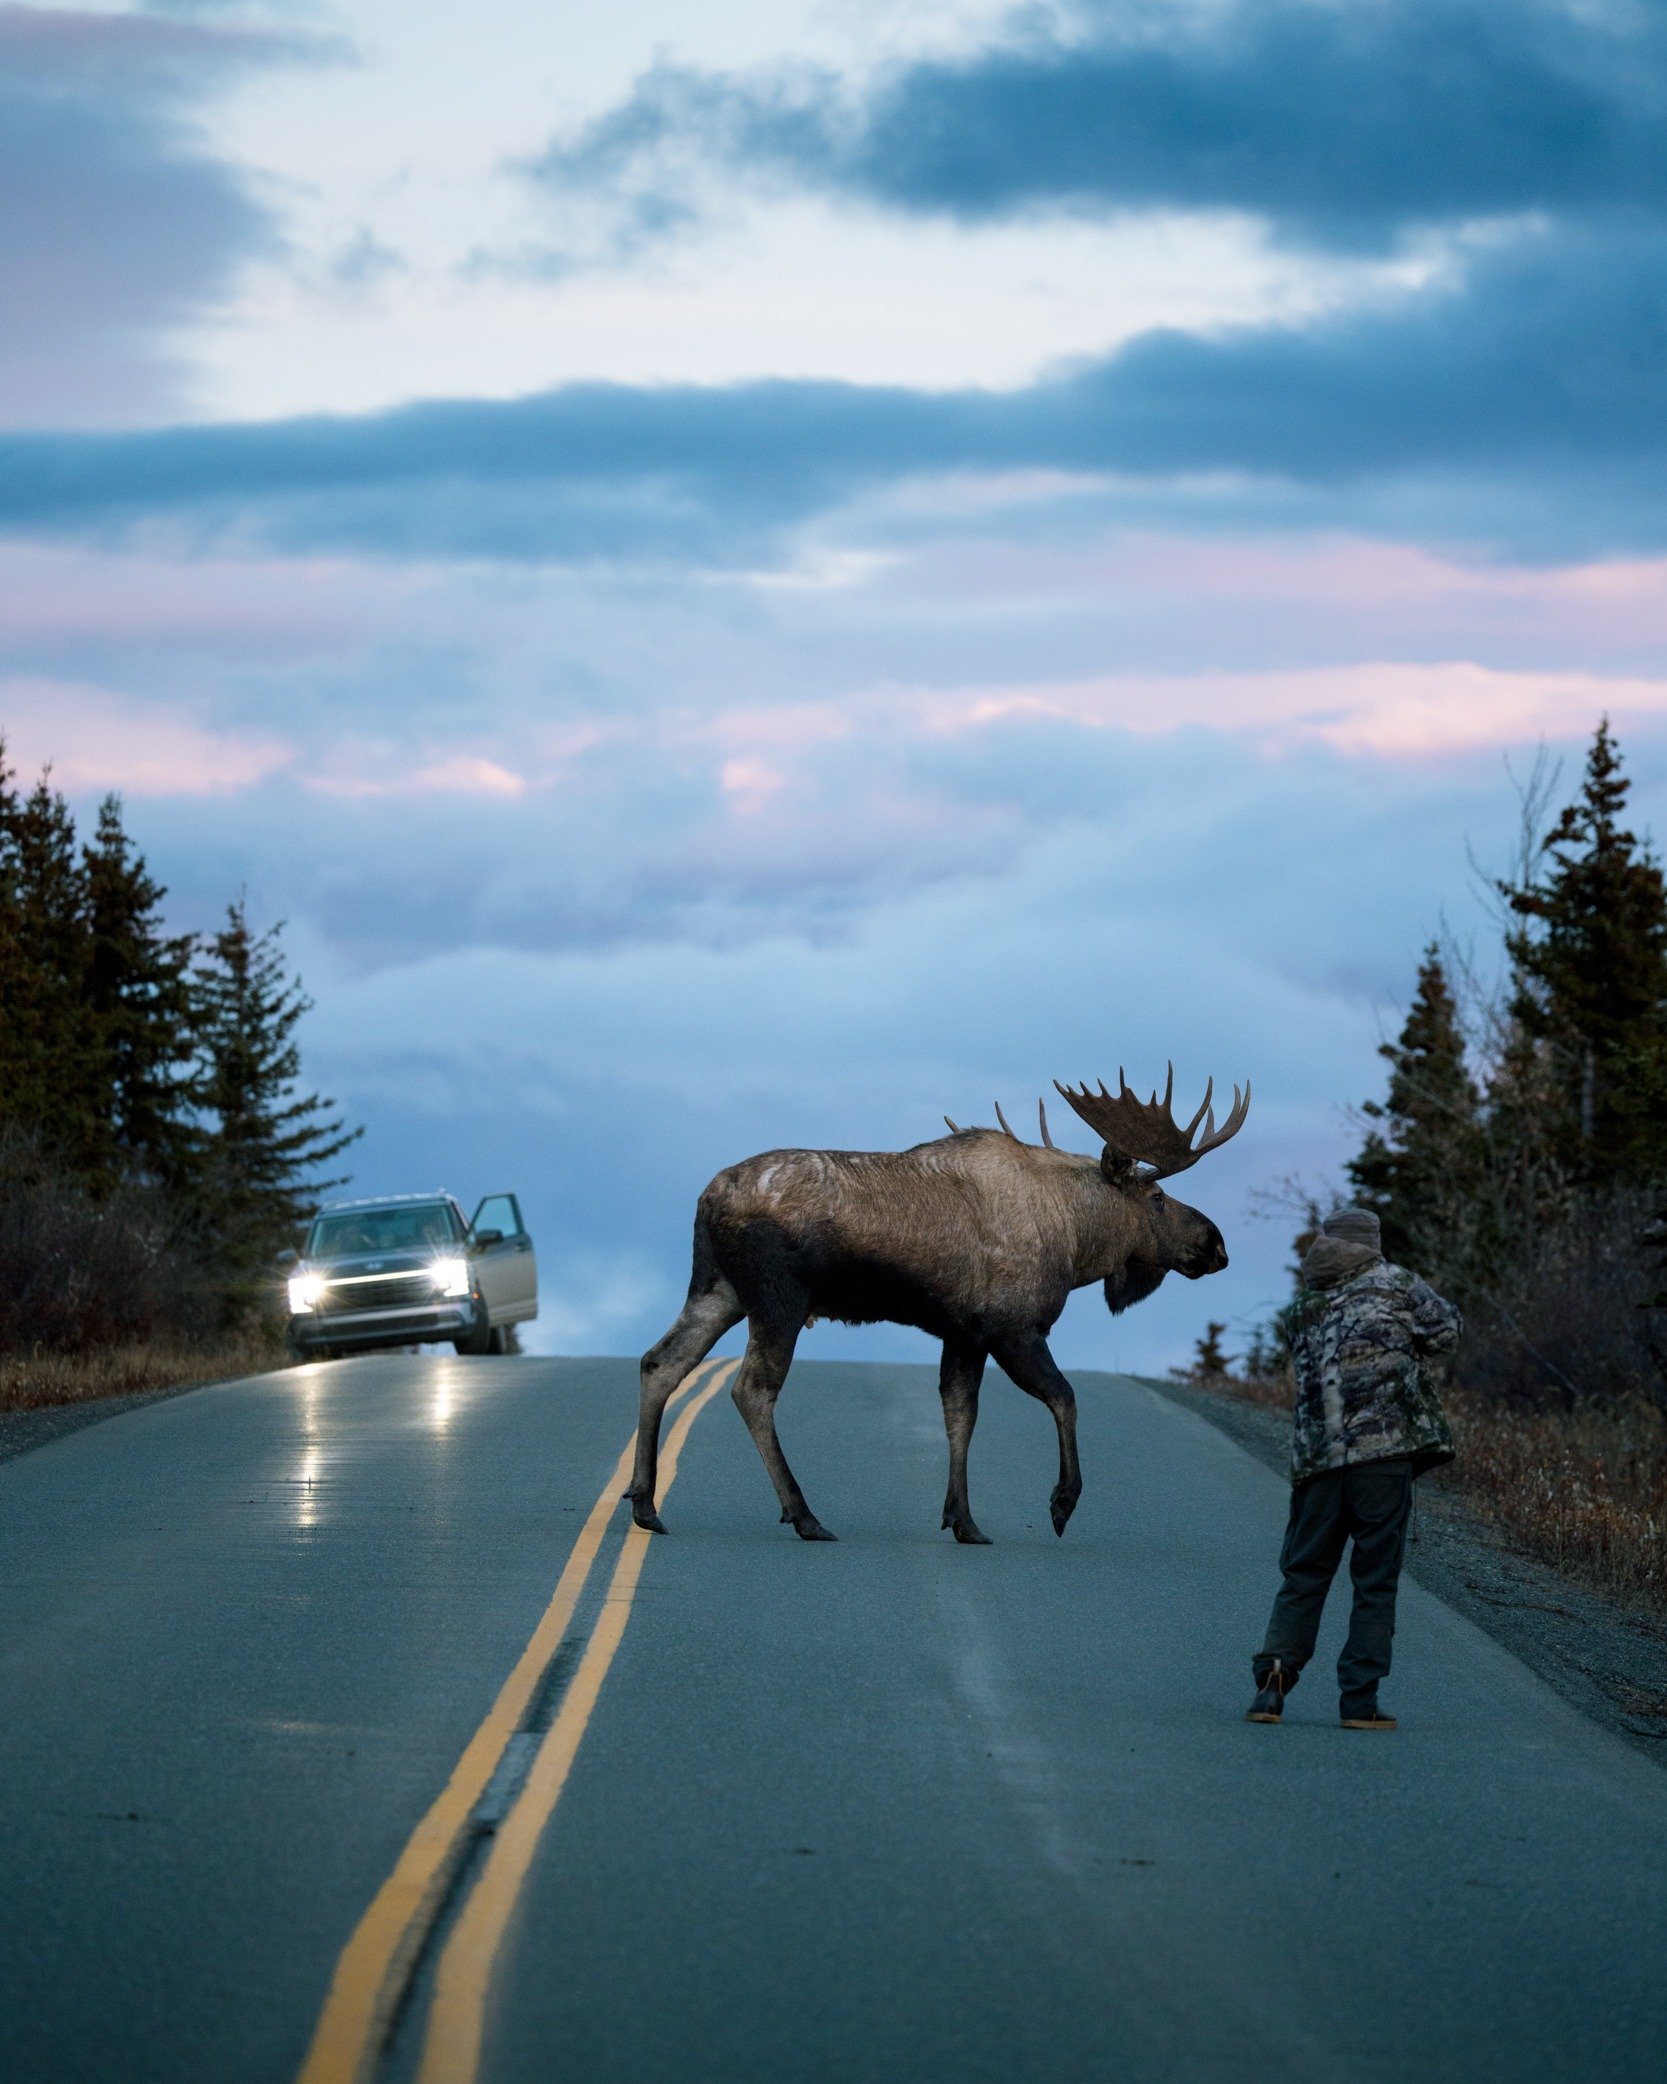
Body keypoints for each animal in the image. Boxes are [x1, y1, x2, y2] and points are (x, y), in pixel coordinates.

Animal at [628, 1066, 1248, 1544]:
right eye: (1157, 1197)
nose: (1216, 1244)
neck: (1077, 1245)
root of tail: (709, 1197)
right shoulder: (1015, 1328)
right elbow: (1064, 1398)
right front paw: (1061, 1502)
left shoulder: (964, 1333)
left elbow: (960, 1416)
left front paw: (963, 1520)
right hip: (778, 1299)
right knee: (751, 1389)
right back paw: (804, 1515)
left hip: (717, 1289)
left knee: (662, 1362)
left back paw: (645, 1505)